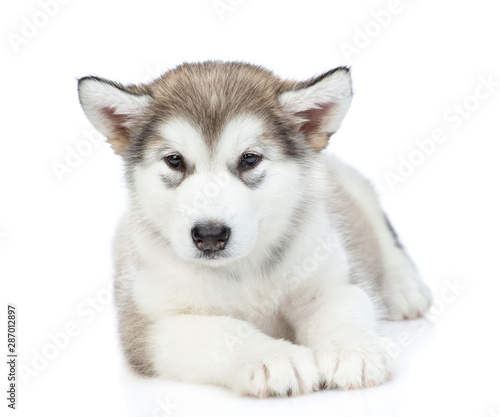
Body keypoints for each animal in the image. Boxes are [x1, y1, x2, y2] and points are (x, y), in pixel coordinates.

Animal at [77, 61, 430, 396]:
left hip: (353, 189)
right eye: (175, 160)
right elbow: (224, 331)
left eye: (249, 159)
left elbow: (340, 308)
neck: (244, 270)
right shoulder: (150, 325)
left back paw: (403, 291)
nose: (210, 236)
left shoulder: (330, 279)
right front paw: (271, 357)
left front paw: (352, 349)